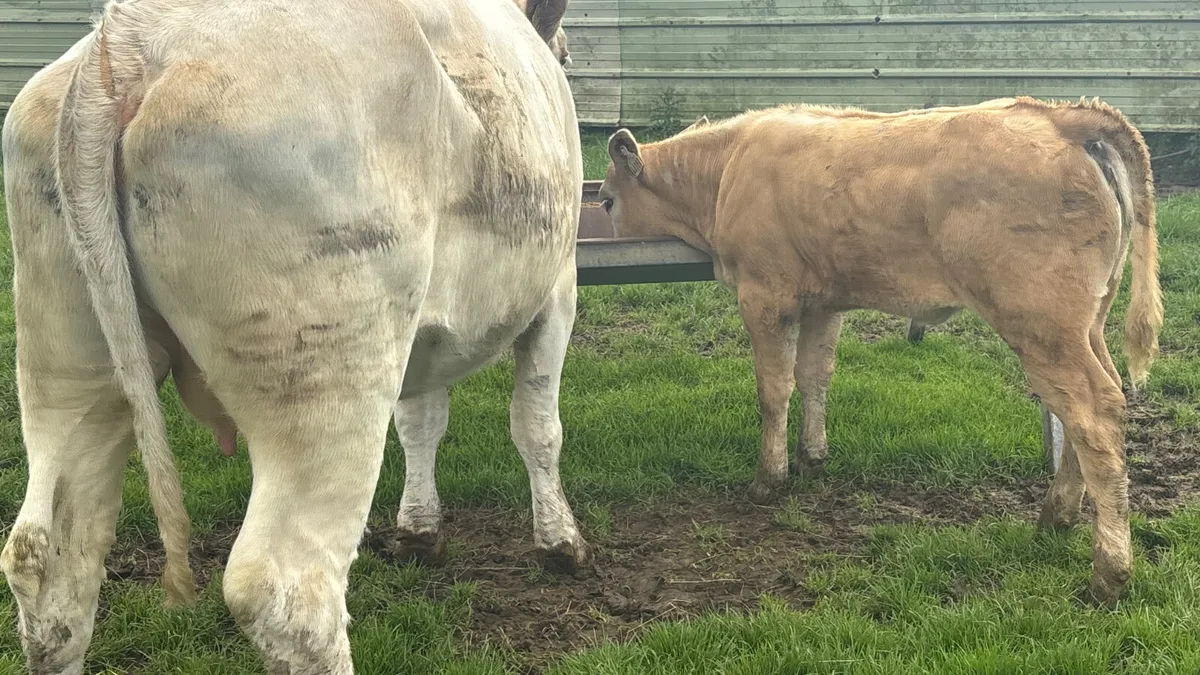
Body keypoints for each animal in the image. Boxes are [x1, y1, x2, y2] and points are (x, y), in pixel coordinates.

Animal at [0, 0, 587, 671]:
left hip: (68, 357)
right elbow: (538, 428)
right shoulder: (558, 291)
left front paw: (419, 531)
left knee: (46, 559)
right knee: (286, 592)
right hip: (328, 371)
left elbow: (421, 424)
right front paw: (561, 544)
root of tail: (131, 39)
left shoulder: (424, 343)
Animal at [595, 97, 1163, 607]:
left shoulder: (765, 296)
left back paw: (1108, 573)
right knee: (1094, 403)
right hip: (1086, 323)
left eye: (606, 201)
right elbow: (815, 375)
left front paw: (768, 478)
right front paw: (812, 457)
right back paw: (1056, 517)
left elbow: (773, 389)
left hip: (1041, 323)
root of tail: (1061, 115)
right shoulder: (823, 302)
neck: (730, 168)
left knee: (1092, 414)